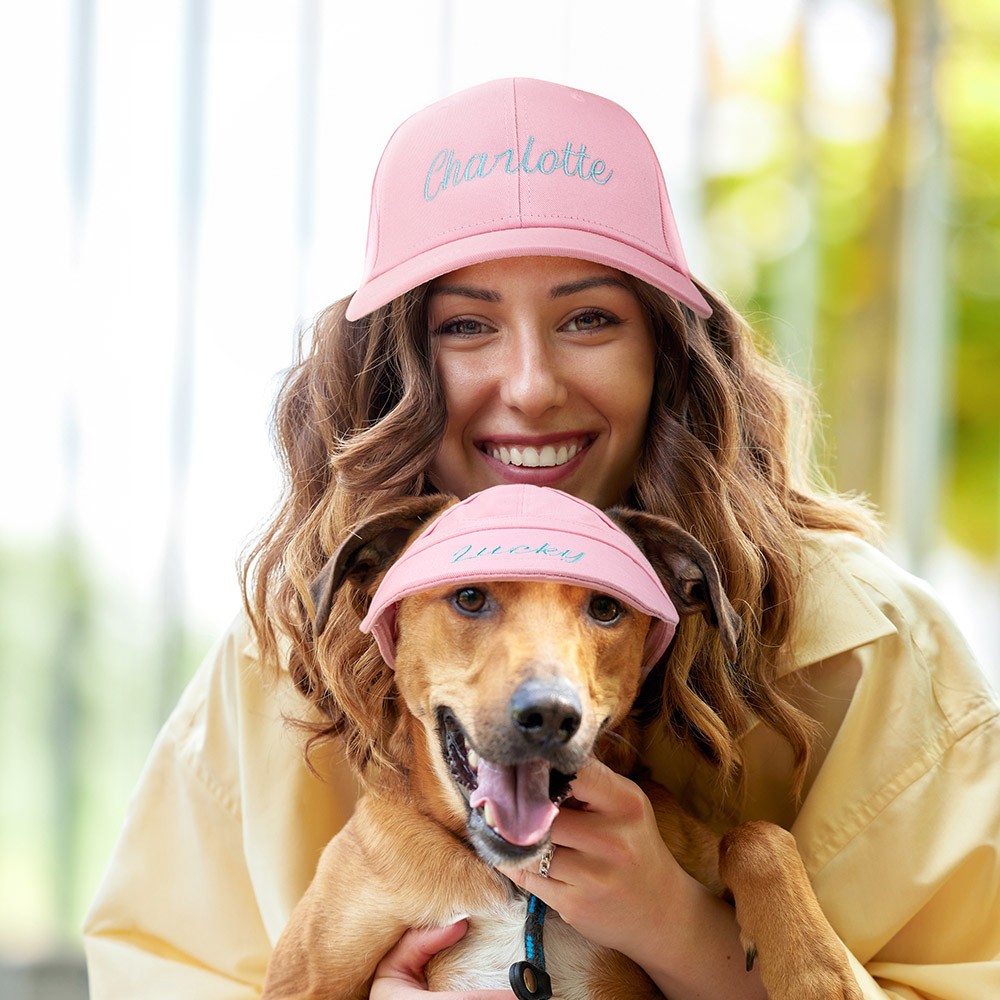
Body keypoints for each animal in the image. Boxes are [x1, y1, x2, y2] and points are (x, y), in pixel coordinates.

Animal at [262, 484, 864, 1000]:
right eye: (470, 596)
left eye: (606, 608)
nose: (550, 715)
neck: (513, 886)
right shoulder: (303, 977)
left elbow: (760, 836)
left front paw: (814, 970)